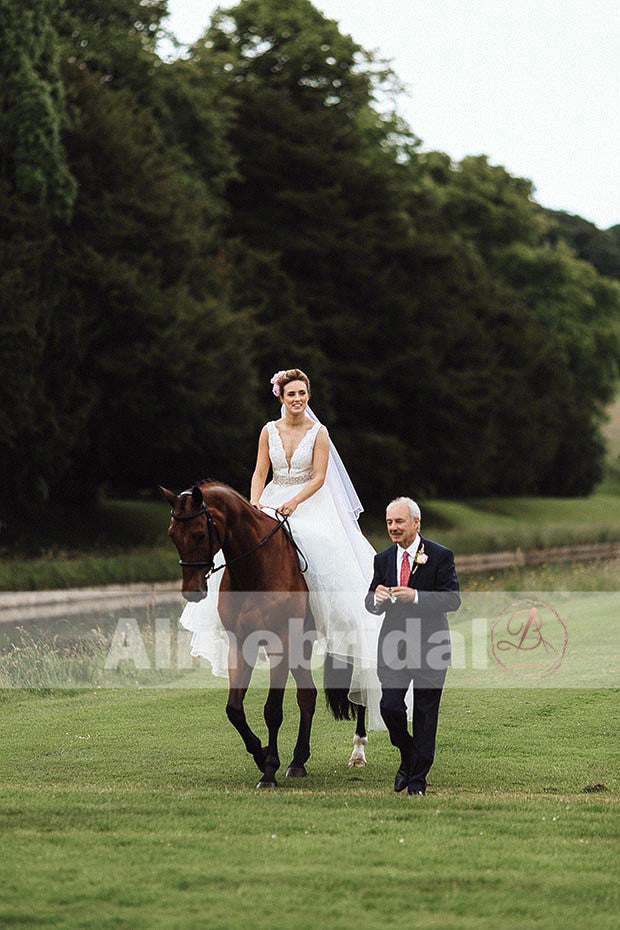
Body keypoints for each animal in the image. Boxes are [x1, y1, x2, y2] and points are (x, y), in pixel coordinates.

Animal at [160, 478, 366, 792]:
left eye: (198, 534)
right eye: (173, 535)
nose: (191, 591)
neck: (255, 565)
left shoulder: (280, 643)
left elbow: (272, 710)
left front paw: (269, 770)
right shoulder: (240, 645)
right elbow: (234, 709)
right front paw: (261, 755)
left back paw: (358, 752)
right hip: (302, 646)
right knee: (308, 695)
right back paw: (298, 760)